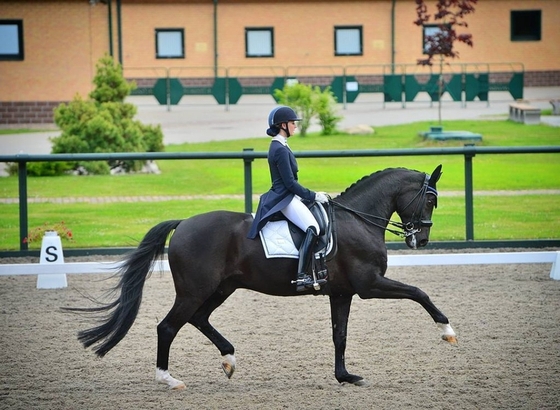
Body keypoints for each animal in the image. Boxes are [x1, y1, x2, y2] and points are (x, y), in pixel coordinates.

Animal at [68, 165, 458, 390]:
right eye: (431, 200)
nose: (421, 240)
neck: (358, 219)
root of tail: (184, 223)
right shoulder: (369, 285)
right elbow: (419, 292)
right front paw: (447, 331)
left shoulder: (342, 292)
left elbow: (340, 336)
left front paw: (344, 376)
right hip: (196, 290)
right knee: (168, 326)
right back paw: (168, 379)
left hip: (221, 288)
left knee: (198, 319)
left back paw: (228, 359)